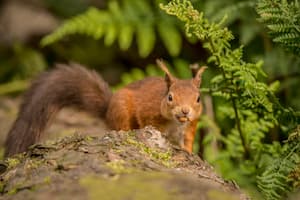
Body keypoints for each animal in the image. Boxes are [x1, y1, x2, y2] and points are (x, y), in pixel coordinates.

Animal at [4, 60, 206, 157]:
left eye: (198, 98)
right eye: (170, 97)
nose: (185, 111)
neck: (175, 123)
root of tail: (107, 110)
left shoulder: (190, 126)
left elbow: (188, 142)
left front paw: (190, 153)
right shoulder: (149, 113)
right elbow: (150, 126)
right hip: (121, 110)